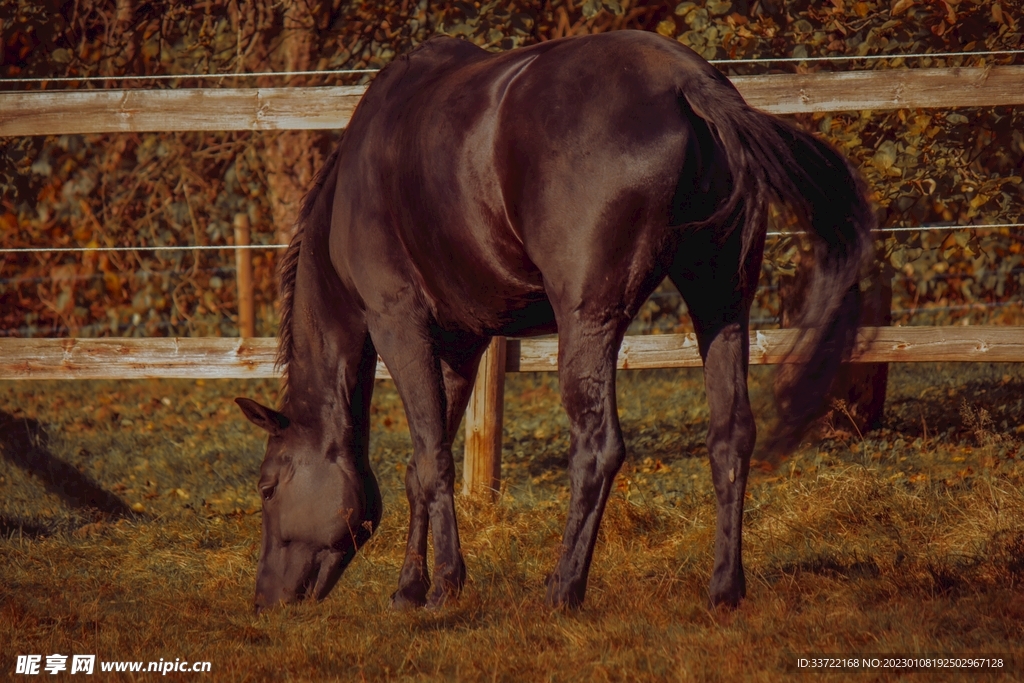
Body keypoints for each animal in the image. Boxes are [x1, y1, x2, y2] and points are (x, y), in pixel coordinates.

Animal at [236, 29, 874, 613]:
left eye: (267, 487)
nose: (264, 599)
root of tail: (689, 83)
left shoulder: (399, 326)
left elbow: (433, 459)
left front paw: (442, 586)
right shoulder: (461, 346)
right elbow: (422, 466)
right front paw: (408, 588)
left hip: (589, 323)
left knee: (597, 447)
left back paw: (563, 589)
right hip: (722, 303)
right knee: (731, 435)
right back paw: (723, 589)